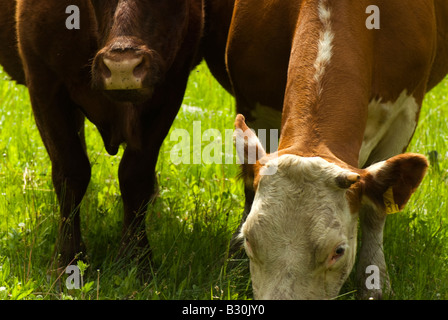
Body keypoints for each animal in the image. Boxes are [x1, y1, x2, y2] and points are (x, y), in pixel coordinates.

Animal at [0, 0, 236, 268]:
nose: (122, 66)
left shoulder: (170, 89)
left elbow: (135, 175)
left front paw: (136, 258)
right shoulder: (44, 83)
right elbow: (71, 173)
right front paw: (67, 259)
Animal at [228, 0, 448, 300]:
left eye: (338, 251)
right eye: (249, 240)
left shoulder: (406, 114)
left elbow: (376, 212)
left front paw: (374, 278)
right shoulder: (254, 105)